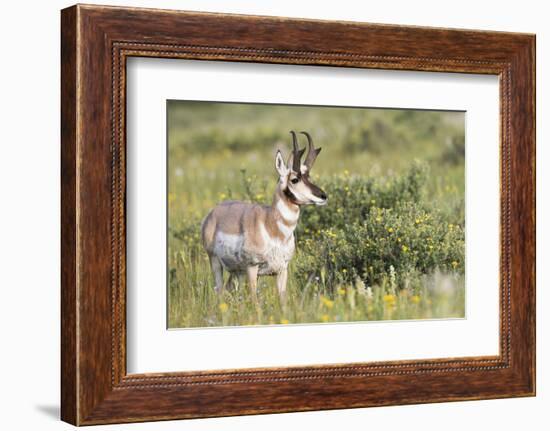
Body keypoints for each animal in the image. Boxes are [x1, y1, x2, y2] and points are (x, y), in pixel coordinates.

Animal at [202, 132, 328, 300]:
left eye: (309, 177)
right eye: (295, 179)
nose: (323, 196)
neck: (271, 226)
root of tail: (214, 212)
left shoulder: (282, 270)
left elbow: (283, 299)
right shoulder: (252, 268)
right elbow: (254, 300)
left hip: (236, 272)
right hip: (216, 262)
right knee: (220, 291)